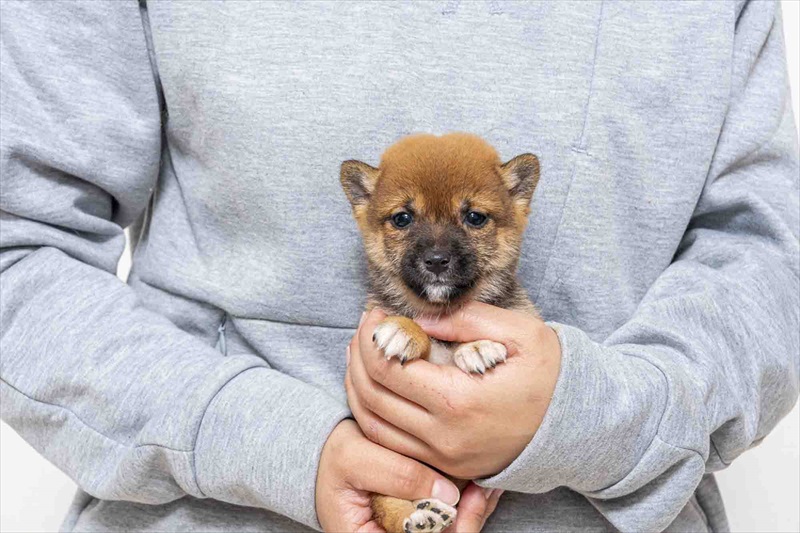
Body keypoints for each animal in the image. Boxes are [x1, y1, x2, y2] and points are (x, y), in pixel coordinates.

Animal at [340, 134, 540, 532]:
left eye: (474, 217)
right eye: (403, 218)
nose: (436, 260)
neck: (441, 307)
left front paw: (477, 345)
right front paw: (405, 331)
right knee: (386, 507)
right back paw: (422, 515)